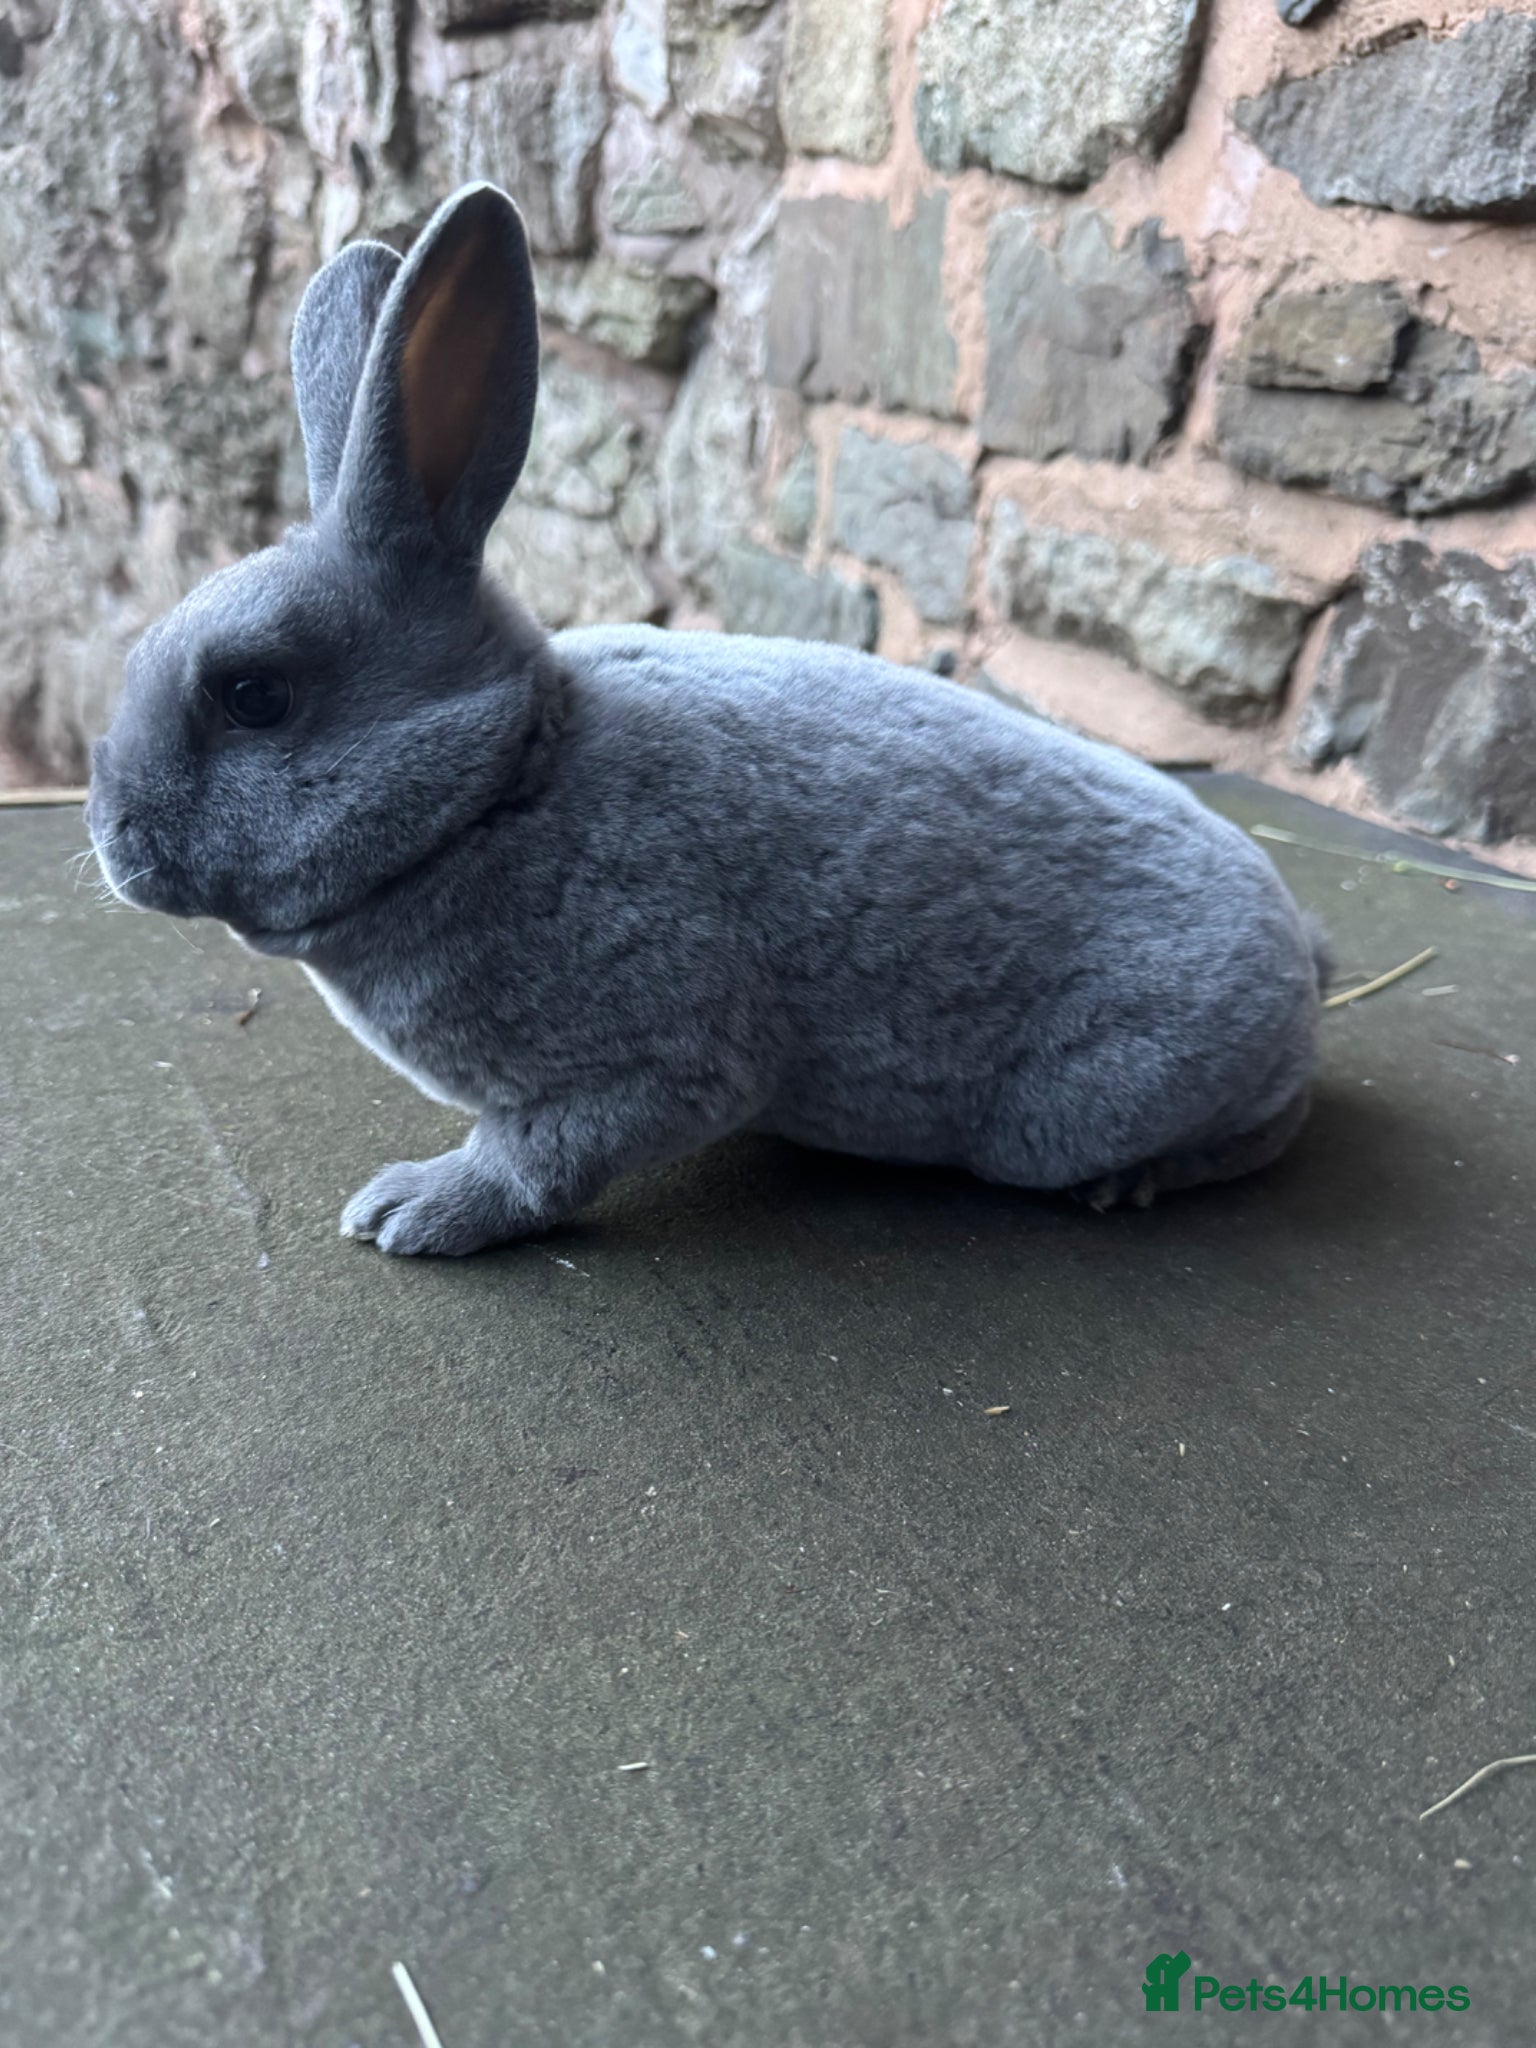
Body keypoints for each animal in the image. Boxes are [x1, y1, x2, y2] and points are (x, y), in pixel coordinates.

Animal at [86, 182, 1330, 1258]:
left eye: (255, 695)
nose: (108, 835)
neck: (501, 780)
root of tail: (1297, 959)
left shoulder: (650, 1060)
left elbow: (539, 1158)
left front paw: (413, 1211)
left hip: (1070, 1112)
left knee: (1270, 1125)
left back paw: (1140, 1178)